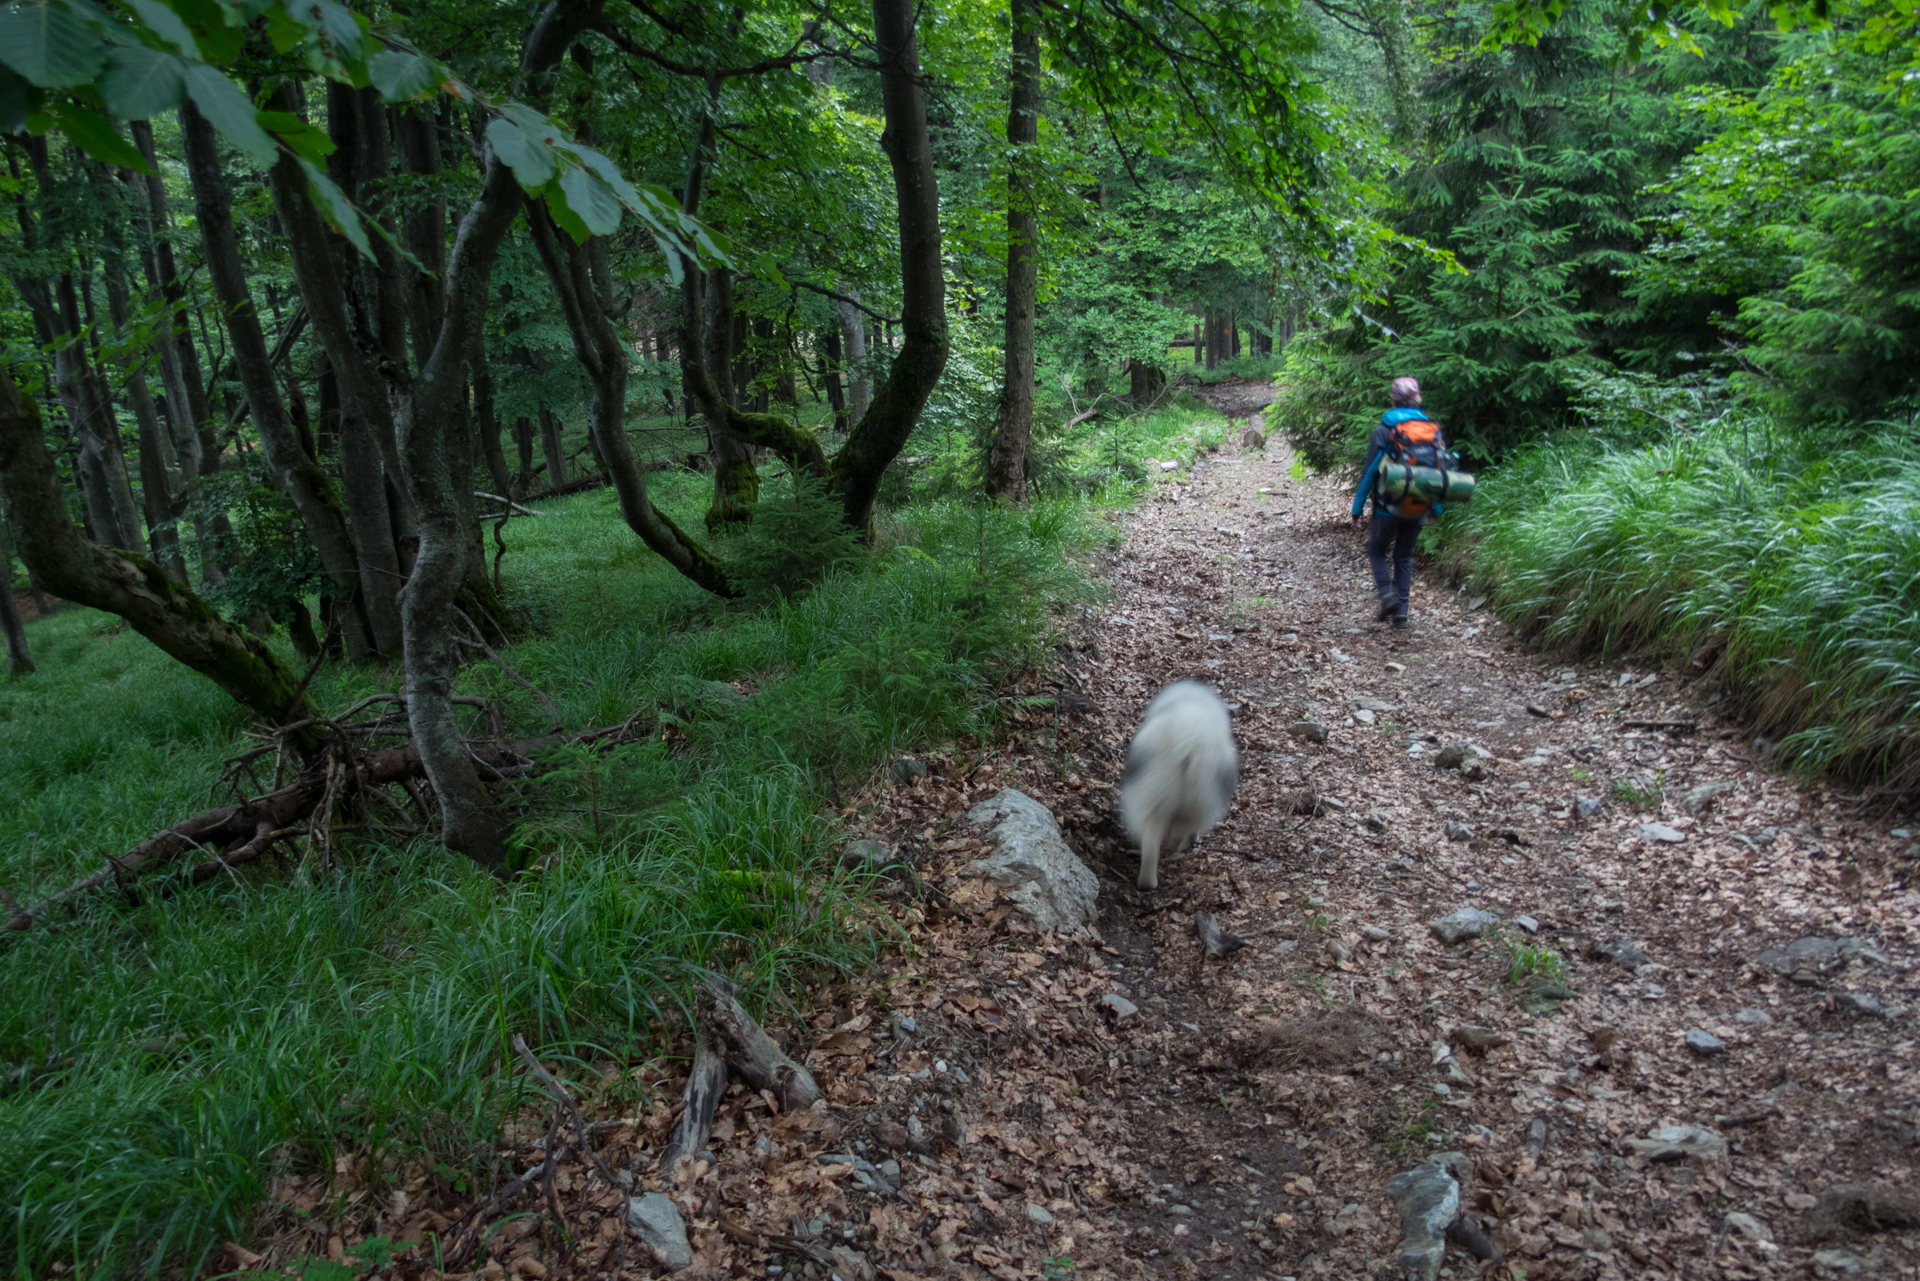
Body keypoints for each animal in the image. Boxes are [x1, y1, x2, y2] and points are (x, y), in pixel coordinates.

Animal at [1121, 679, 1236, 891]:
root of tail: (1187, 742)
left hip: (1153, 796)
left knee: (1152, 838)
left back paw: (1147, 882)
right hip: (1195, 801)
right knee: (1176, 833)